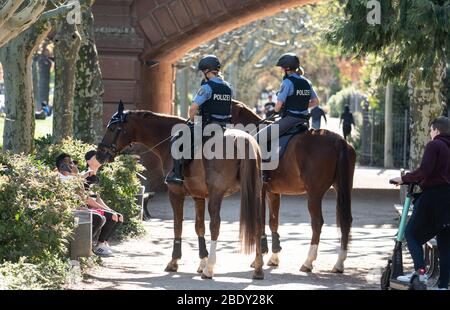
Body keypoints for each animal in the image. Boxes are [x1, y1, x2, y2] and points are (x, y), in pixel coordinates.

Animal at [95, 103, 264, 280]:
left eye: (113, 128)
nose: (100, 155)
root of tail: (243, 140)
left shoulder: (175, 193)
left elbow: (178, 226)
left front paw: (174, 261)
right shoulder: (198, 196)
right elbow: (199, 227)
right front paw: (201, 261)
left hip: (216, 194)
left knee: (215, 225)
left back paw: (210, 268)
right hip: (254, 192)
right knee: (258, 224)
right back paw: (258, 267)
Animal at [230, 100, 356, 272]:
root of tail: (339, 141)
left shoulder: (260, 191)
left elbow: (260, 222)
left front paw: (258, 258)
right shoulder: (273, 193)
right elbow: (273, 222)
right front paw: (274, 257)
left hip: (314, 194)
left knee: (317, 223)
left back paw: (308, 261)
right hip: (343, 189)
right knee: (346, 221)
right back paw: (339, 263)